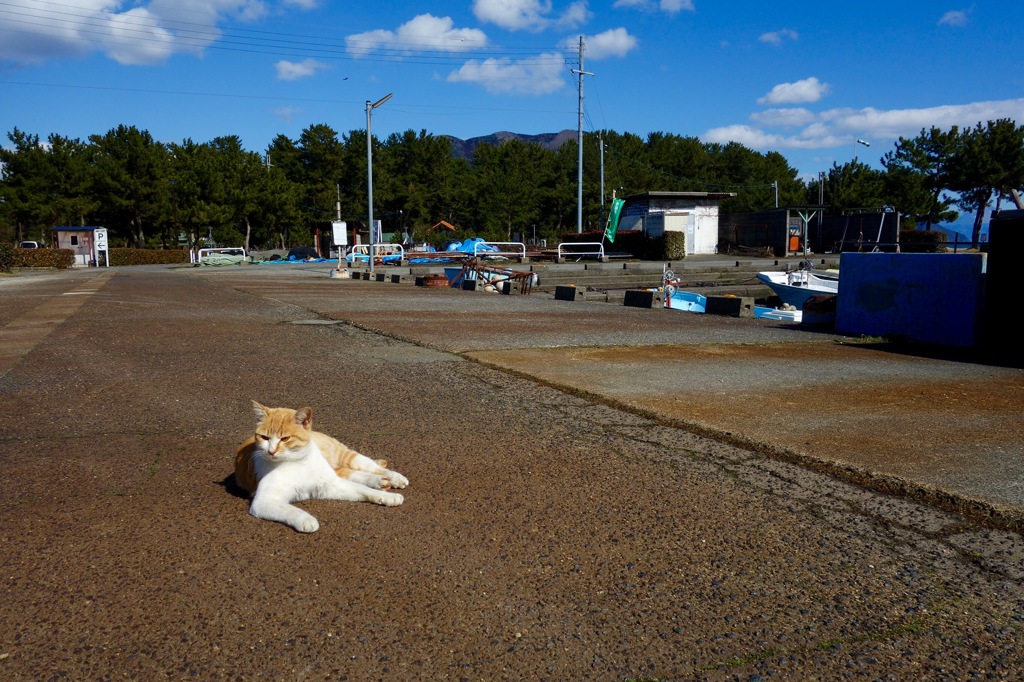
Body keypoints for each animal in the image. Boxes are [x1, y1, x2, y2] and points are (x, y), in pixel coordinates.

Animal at [234, 399, 405, 532]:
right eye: (264, 437)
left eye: (285, 439)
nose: (271, 451)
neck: (297, 462)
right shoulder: (264, 501)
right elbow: (289, 509)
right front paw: (306, 520)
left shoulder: (331, 484)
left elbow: (364, 490)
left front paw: (388, 497)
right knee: (354, 473)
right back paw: (381, 481)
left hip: (345, 455)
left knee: (371, 465)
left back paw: (395, 478)